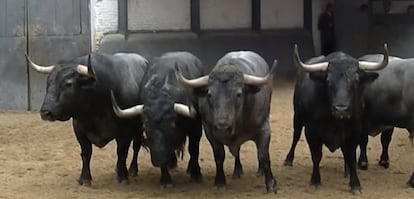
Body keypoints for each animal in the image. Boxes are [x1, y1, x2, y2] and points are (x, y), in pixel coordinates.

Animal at [25, 52, 148, 185]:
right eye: (48, 81)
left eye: (69, 84)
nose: (45, 112)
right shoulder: (79, 128)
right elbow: (86, 153)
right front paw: (84, 178)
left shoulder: (126, 131)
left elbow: (122, 152)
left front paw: (123, 176)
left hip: (139, 128)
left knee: (136, 146)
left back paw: (132, 169)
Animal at [284, 44, 388, 193]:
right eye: (328, 81)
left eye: (356, 81)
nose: (341, 109)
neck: (334, 122)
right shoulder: (311, 132)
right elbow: (316, 156)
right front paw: (315, 180)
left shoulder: (354, 132)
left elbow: (350, 156)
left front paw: (355, 184)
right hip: (297, 117)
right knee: (295, 137)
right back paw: (288, 159)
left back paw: (347, 171)